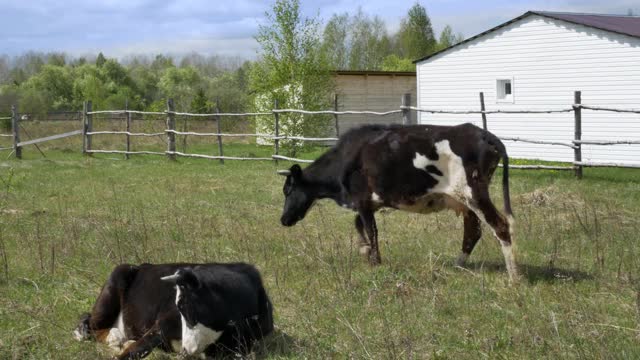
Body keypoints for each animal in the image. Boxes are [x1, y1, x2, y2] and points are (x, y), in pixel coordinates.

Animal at [74, 262, 274, 360]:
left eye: (186, 307)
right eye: (179, 308)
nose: (187, 349)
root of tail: (142, 265)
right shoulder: (161, 324)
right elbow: (135, 350)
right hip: (113, 287)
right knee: (88, 325)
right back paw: (113, 337)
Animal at [280, 124, 520, 282]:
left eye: (287, 190)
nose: (283, 219)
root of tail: (484, 134)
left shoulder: (362, 200)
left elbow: (371, 230)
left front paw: (374, 261)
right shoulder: (370, 203)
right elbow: (359, 225)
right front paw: (364, 250)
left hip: (474, 193)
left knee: (500, 226)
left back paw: (513, 277)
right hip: (463, 200)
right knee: (473, 231)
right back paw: (457, 265)